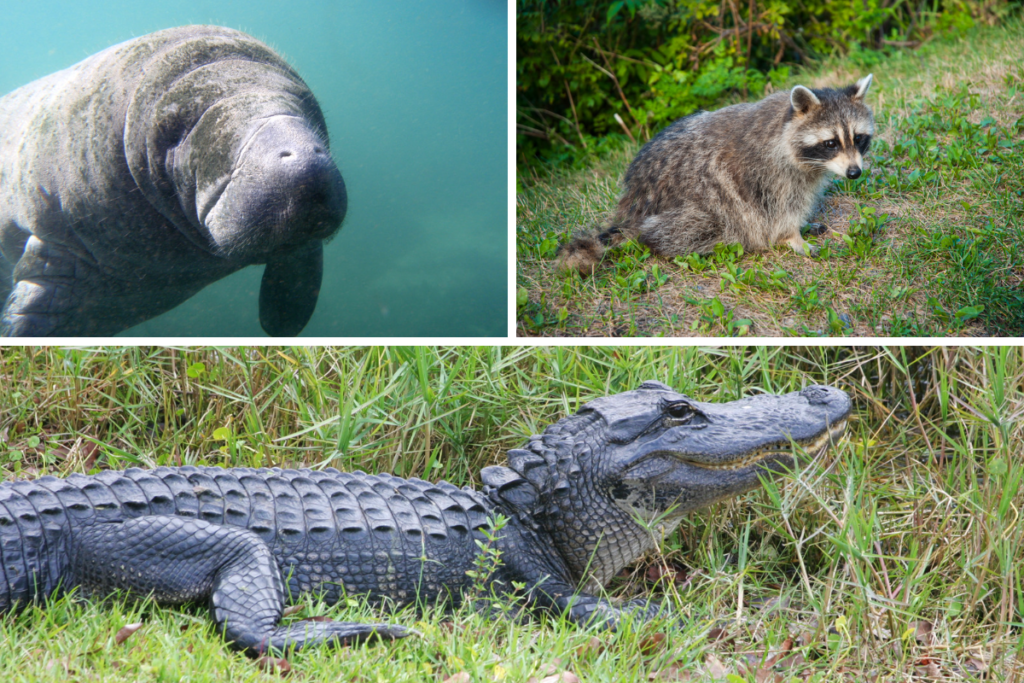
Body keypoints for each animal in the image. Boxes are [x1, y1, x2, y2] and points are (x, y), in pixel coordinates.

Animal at [557, 76, 876, 274]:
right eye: (831, 143)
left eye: (859, 138)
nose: (854, 173)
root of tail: (633, 201)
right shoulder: (769, 173)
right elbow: (779, 209)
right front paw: (791, 236)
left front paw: (802, 225)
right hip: (693, 204)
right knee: (692, 228)